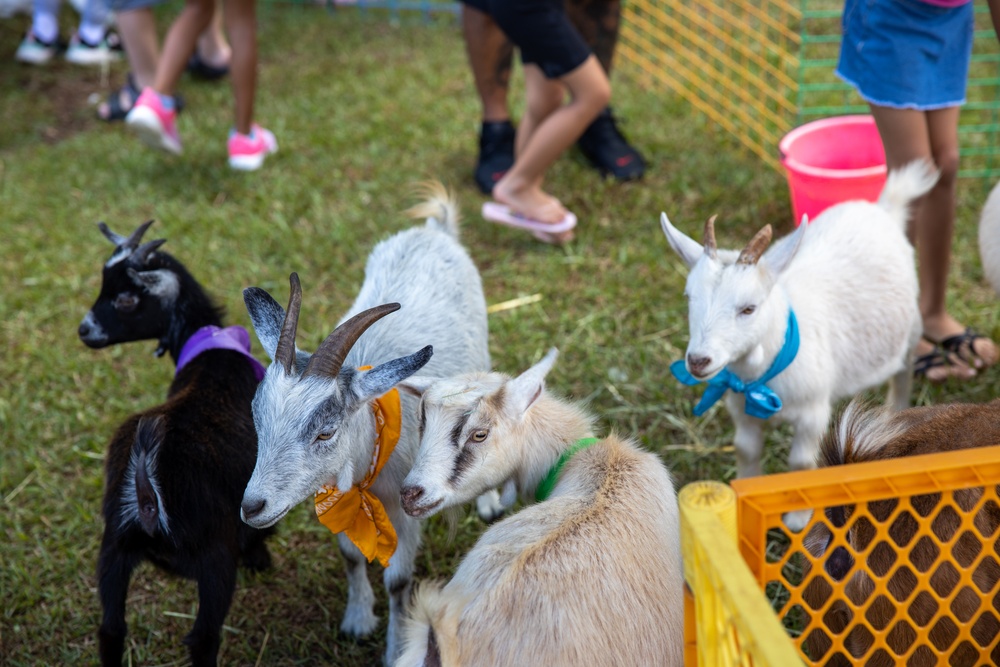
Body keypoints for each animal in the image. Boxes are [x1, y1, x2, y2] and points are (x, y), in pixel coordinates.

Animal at [81, 222, 274, 664]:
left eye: (126, 298)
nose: (84, 330)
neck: (212, 356)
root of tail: (146, 484)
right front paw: (262, 561)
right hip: (214, 558)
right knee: (203, 637)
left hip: (113, 548)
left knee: (111, 629)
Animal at [242, 183, 492, 664]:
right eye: (257, 419)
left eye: (325, 431)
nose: (252, 507)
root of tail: (434, 231)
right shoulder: (337, 496)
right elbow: (351, 556)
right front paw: (357, 621)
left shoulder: (408, 509)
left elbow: (398, 581)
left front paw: (394, 648)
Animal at [660, 166, 932, 500]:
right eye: (688, 297)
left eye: (749, 308)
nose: (698, 360)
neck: (761, 377)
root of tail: (883, 208)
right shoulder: (741, 409)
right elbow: (745, 449)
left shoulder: (812, 414)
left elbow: (802, 462)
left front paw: (799, 514)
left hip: (911, 327)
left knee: (904, 371)